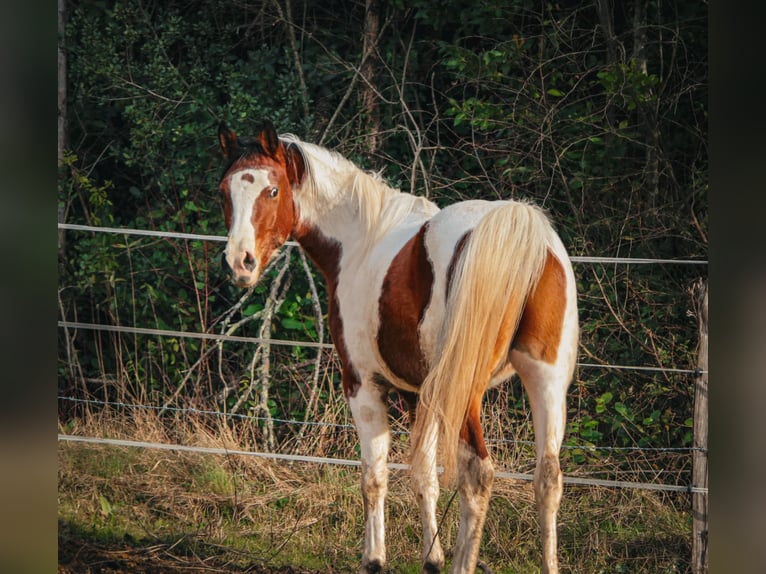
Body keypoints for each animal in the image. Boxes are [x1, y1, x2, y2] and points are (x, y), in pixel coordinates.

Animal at [216, 119, 579, 574]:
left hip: (468, 393)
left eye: (272, 190)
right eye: (224, 191)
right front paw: (431, 559)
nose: (239, 263)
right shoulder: (422, 393)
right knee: (548, 478)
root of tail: (516, 231)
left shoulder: (364, 386)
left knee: (477, 474)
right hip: (546, 381)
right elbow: (424, 474)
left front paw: (375, 558)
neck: (361, 241)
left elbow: (375, 477)